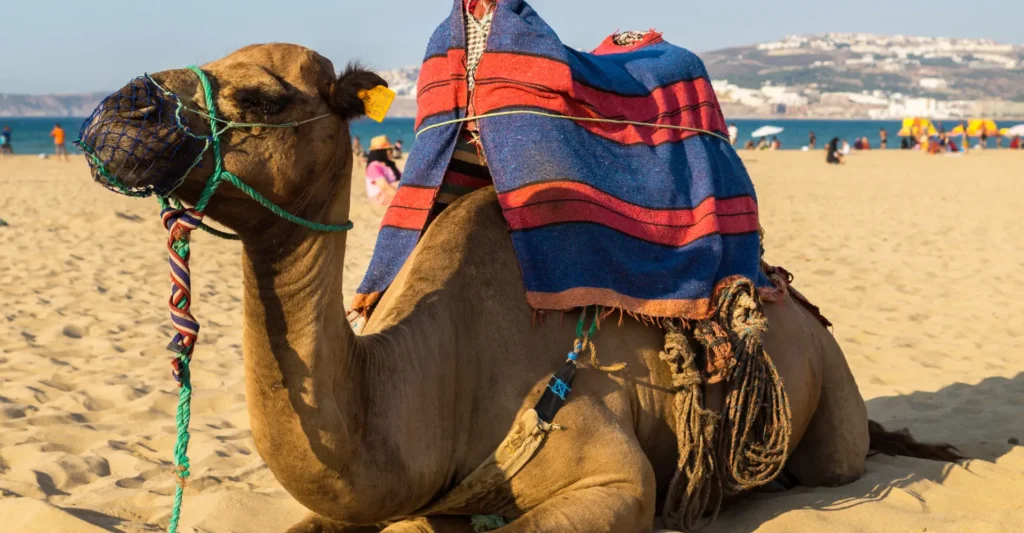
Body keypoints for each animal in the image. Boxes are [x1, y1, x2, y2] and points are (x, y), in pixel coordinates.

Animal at [78, 44, 959, 533]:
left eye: (261, 95)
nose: (117, 111)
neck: (435, 374)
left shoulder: (614, 474)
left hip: (831, 408)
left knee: (839, 457)